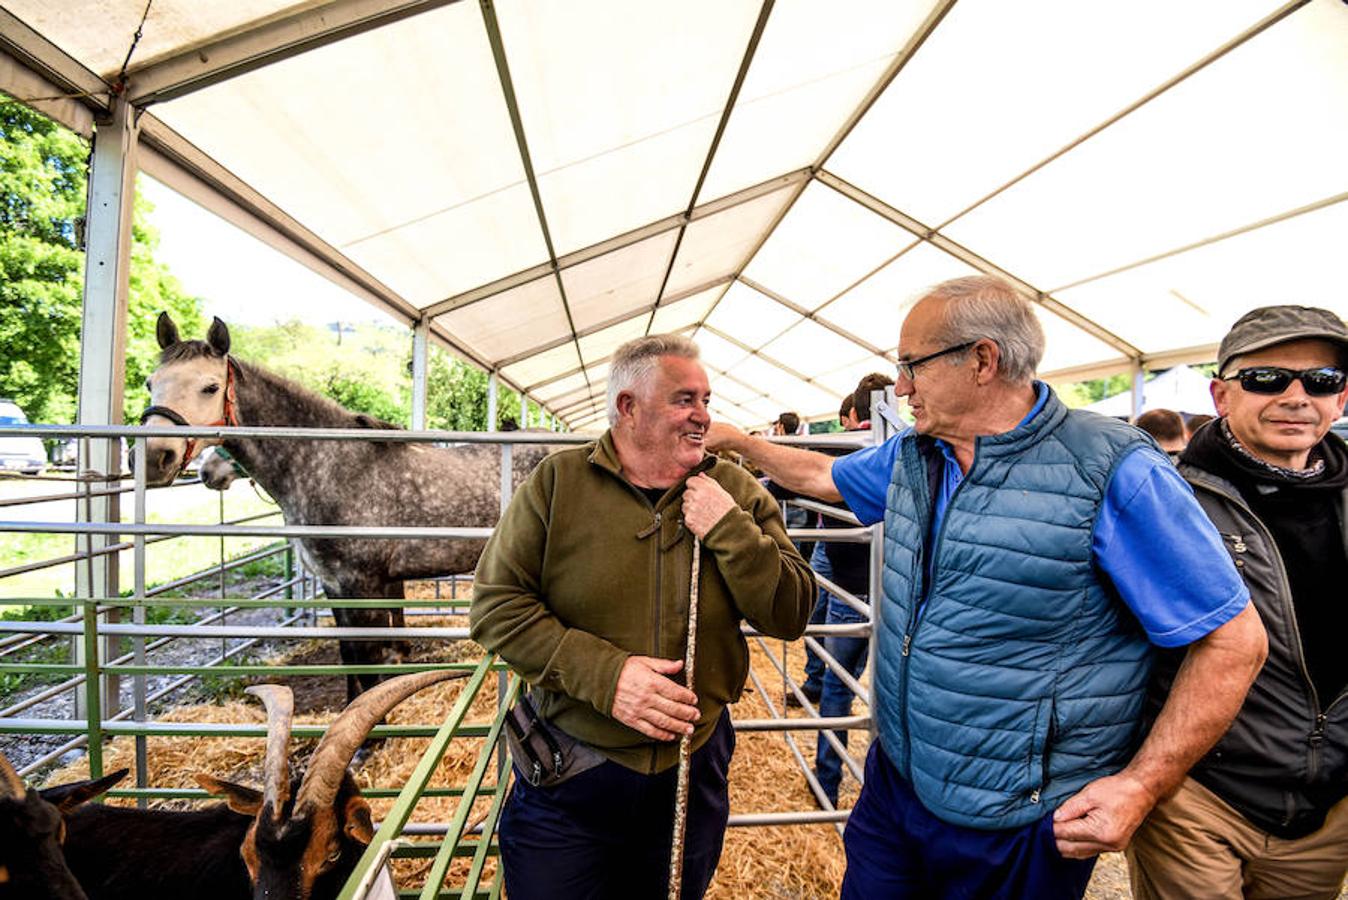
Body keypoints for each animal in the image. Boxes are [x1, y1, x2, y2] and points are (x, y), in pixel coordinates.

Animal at [142, 316, 552, 700]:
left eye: (210, 387)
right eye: (150, 382)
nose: (153, 457)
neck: (331, 464)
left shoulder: (362, 584)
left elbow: (368, 659)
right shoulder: (334, 584)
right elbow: (349, 655)